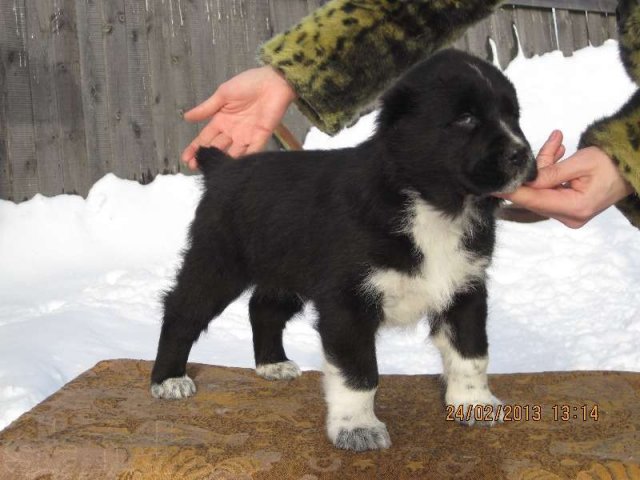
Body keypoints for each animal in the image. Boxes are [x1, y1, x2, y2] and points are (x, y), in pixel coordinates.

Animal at [150, 50, 536, 452]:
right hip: (217, 264)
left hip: (287, 271)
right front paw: (357, 428)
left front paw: (474, 403)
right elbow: (358, 372)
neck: (431, 204)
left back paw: (271, 364)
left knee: (264, 308)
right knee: (182, 311)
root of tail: (221, 167)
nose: (521, 155)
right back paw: (168, 379)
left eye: (513, 116)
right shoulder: (347, 302)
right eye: (466, 118)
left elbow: (471, 353)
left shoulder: (465, 288)